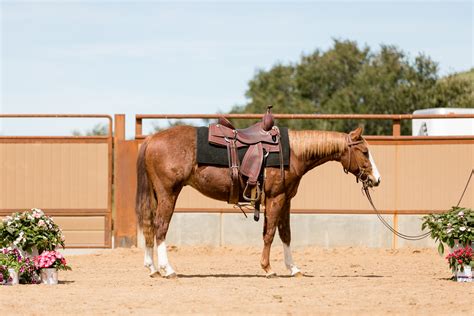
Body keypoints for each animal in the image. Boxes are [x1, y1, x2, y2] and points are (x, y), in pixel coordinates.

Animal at [135, 124, 380, 278]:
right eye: (364, 152)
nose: (376, 179)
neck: (294, 153)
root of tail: (152, 139)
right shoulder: (275, 198)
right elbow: (270, 233)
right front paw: (268, 268)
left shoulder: (286, 200)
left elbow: (286, 234)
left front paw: (293, 268)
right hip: (168, 193)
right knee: (160, 227)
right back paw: (168, 269)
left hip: (157, 195)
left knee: (149, 226)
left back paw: (152, 268)